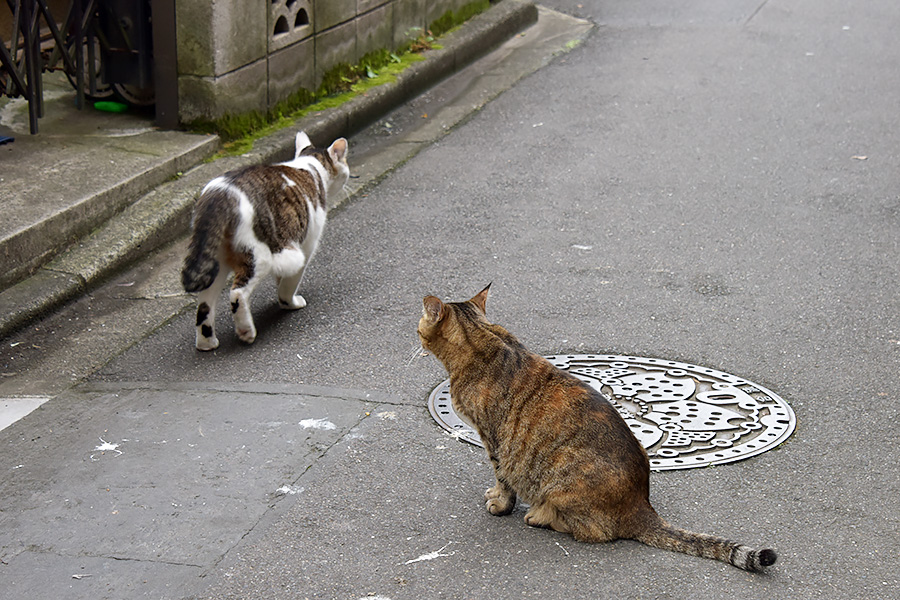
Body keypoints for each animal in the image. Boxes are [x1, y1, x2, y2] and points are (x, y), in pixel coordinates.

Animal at [181, 129, 350, 350]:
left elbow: (281, 278)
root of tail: (220, 194)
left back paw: (207, 343)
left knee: (204, 305)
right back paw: (246, 331)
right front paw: (289, 303)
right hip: (259, 256)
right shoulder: (303, 248)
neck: (310, 167)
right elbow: (289, 284)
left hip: (215, 260)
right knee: (237, 293)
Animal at [418, 286, 776, 572]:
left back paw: (540, 515)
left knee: (593, 532)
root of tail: (642, 506)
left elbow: (502, 478)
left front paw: (500, 503)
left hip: (563, 483)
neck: (483, 334)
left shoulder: (492, 438)